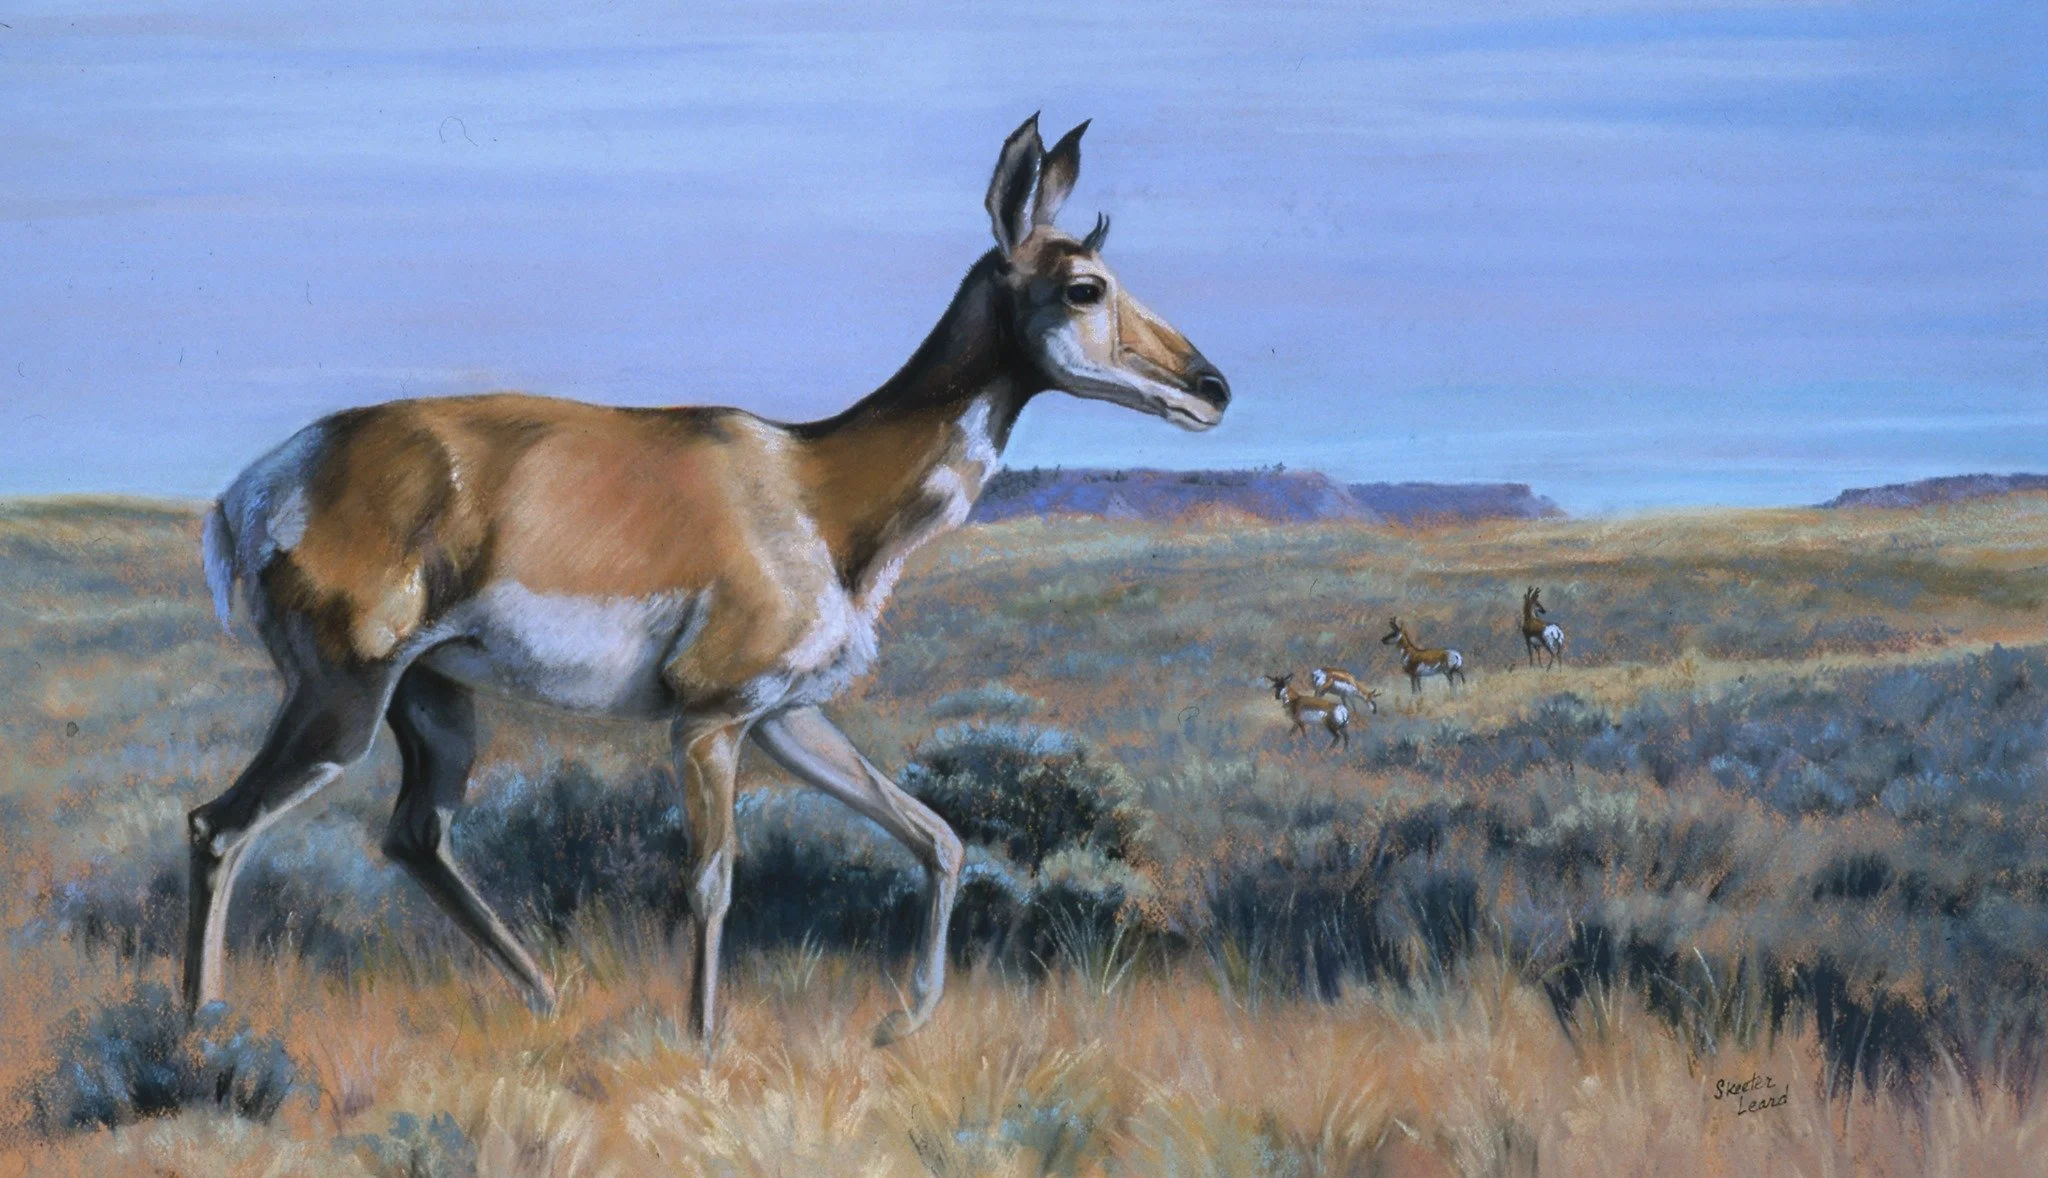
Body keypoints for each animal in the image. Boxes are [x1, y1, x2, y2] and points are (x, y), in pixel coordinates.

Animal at [184, 115, 1229, 1049]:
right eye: (1087, 286)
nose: (1212, 388)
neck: (812, 484)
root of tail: (257, 486)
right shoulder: (708, 719)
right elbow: (713, 881)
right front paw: (704, 1040)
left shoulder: (786, 716)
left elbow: (937, 835)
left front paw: (901, 1021)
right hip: (343, 698)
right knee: (218, 826)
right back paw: (200, 1028)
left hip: (434, 700)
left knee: (413, 836)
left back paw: (546, 995)